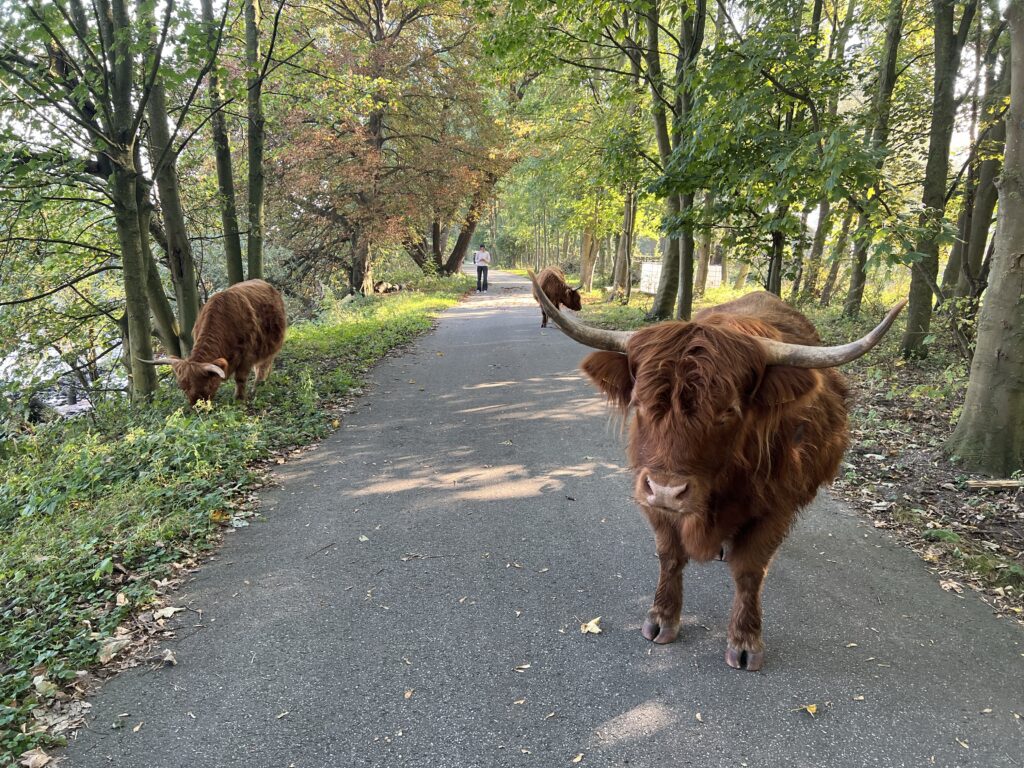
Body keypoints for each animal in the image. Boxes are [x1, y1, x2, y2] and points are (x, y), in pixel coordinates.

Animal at [148, 280, 286, 405]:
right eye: (183, 387)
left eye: (204, 385)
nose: (197, 407)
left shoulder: (247, 354)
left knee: (264, 364)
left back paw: (259, 385)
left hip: (271, 344)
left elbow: (240, 378)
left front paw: (239, 399)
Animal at [528, 274, 905, 671]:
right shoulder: (650, 495)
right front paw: (662, 617)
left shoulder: (777, 507)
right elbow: (670, 555)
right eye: (640, 403)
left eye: (727, 411)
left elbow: (750, 571)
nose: (667, 490)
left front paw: (745, 639)